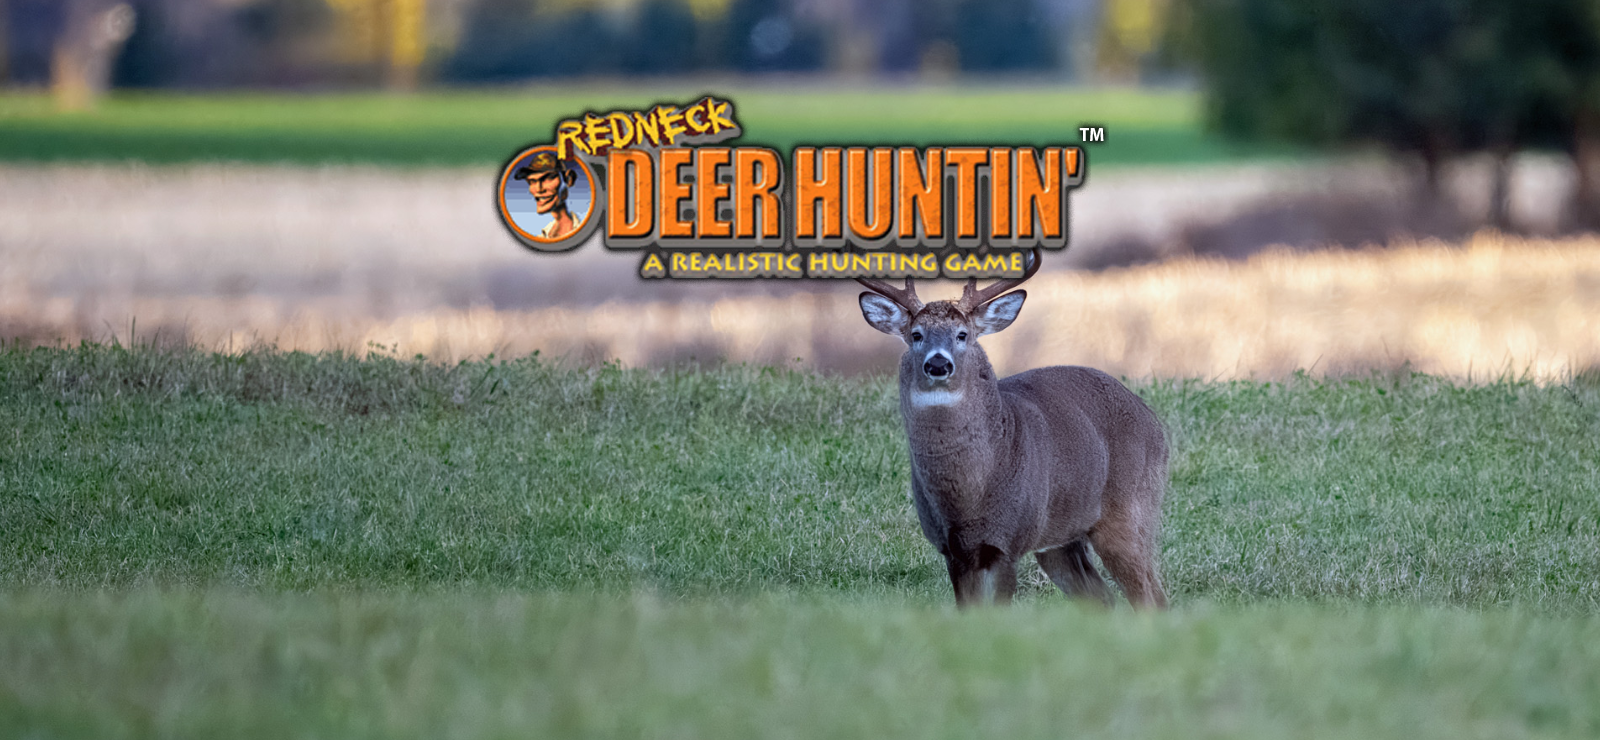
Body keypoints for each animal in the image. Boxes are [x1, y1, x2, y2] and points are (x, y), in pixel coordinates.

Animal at [856, 250, 1169, 608]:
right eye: (916, 334)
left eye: (962, 334)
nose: (938, 364)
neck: (968, 497)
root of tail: (1155, 422)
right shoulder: (953, 550)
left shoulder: (1007, 541)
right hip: (1060, 540)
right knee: (1102, 597)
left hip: (1131, 510)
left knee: (1150, 596)